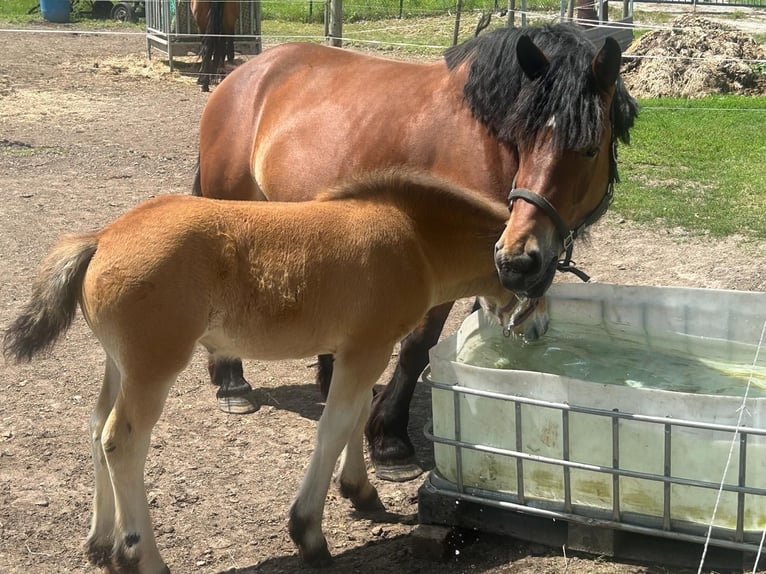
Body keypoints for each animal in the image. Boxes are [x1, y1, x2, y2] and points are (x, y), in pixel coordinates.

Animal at [6, 170, 536, 572]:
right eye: (543, 273)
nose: (533, 328)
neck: (411, 237)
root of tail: (100, 238)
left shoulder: (357, 351)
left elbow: (355, 413)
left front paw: (360, 492)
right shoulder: (368, 347)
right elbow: (335, 426)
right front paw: (309, 534)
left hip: (118, 364)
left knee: (95, 427)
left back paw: (100, 543)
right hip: (151, 368)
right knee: (121, 440)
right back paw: (142, 556)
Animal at [195, 25, 640, 486]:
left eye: (589, 148)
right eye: (521, 138)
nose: (519, 260)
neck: (482, 144)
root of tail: (244, 74)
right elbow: (418, 346)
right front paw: (391, 442)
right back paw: (232, 383)